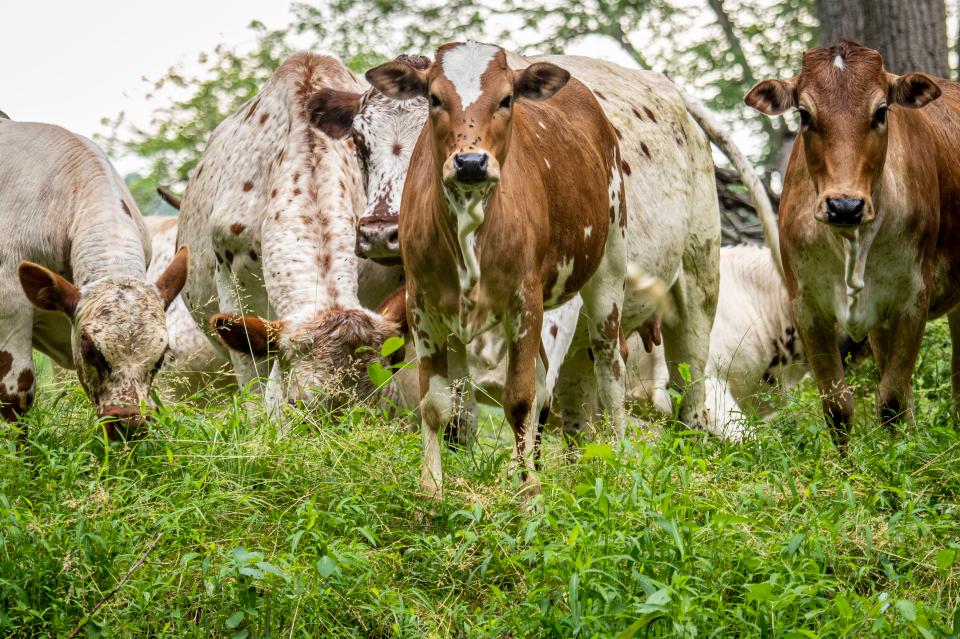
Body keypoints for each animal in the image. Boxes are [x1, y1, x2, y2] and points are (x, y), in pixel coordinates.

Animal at [744, 38, 960, 440]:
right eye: (804, 114)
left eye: (881, 111)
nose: (845, 205)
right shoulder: (807, 307)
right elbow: (837, 406)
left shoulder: (912, 301)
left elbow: (891, 402)